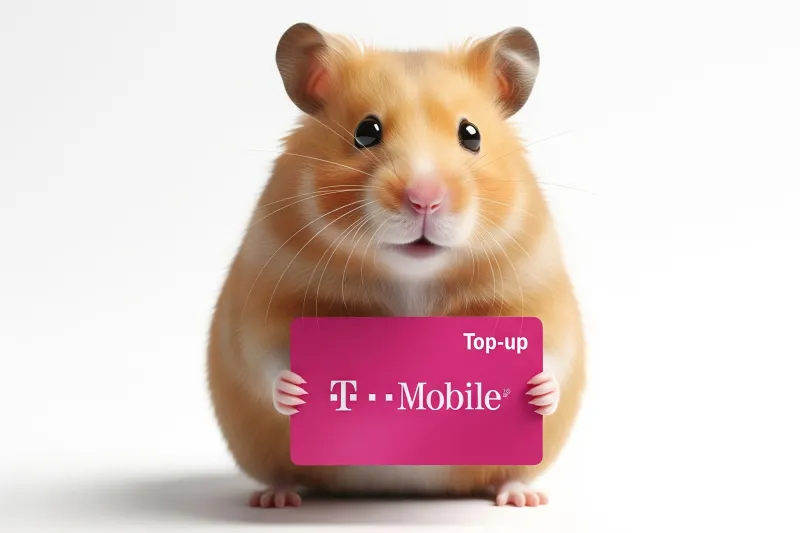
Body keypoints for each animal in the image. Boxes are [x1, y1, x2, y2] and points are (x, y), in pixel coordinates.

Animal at [207, 22, 585, 508]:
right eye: (366, 132)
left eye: (471, 134)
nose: (425, 199)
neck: (412, 279)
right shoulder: (264, 291)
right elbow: (266, 355)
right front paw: (298, 390)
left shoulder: (537, 287)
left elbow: (554, 351)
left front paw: (537, 391)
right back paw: (276, 499)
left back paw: (521, 497)